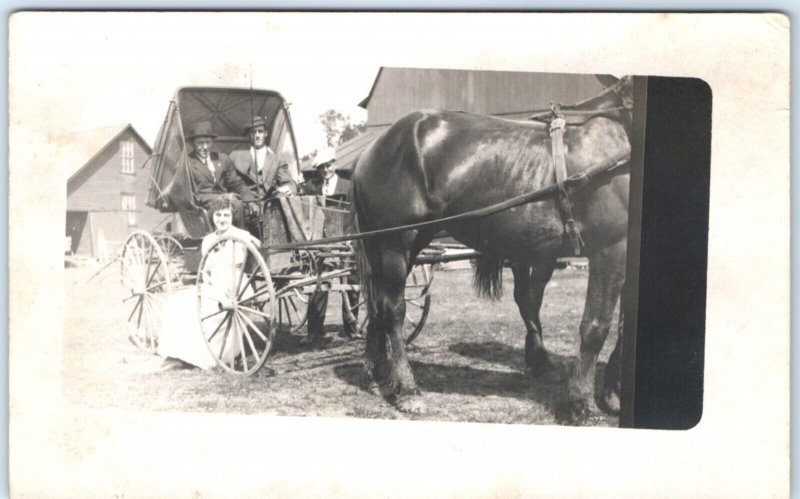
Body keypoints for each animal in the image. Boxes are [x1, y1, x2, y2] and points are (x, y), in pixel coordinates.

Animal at [354, 77, 636, 422]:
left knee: (376, 304)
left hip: (393, 245)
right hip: (396, 243)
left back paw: (378, 374)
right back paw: (407, 390)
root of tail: (374, 148)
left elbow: (624, 327)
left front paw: (612, 395)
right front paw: (580, 404)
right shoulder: (610, 249)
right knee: (393, 310)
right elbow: (596, 327)